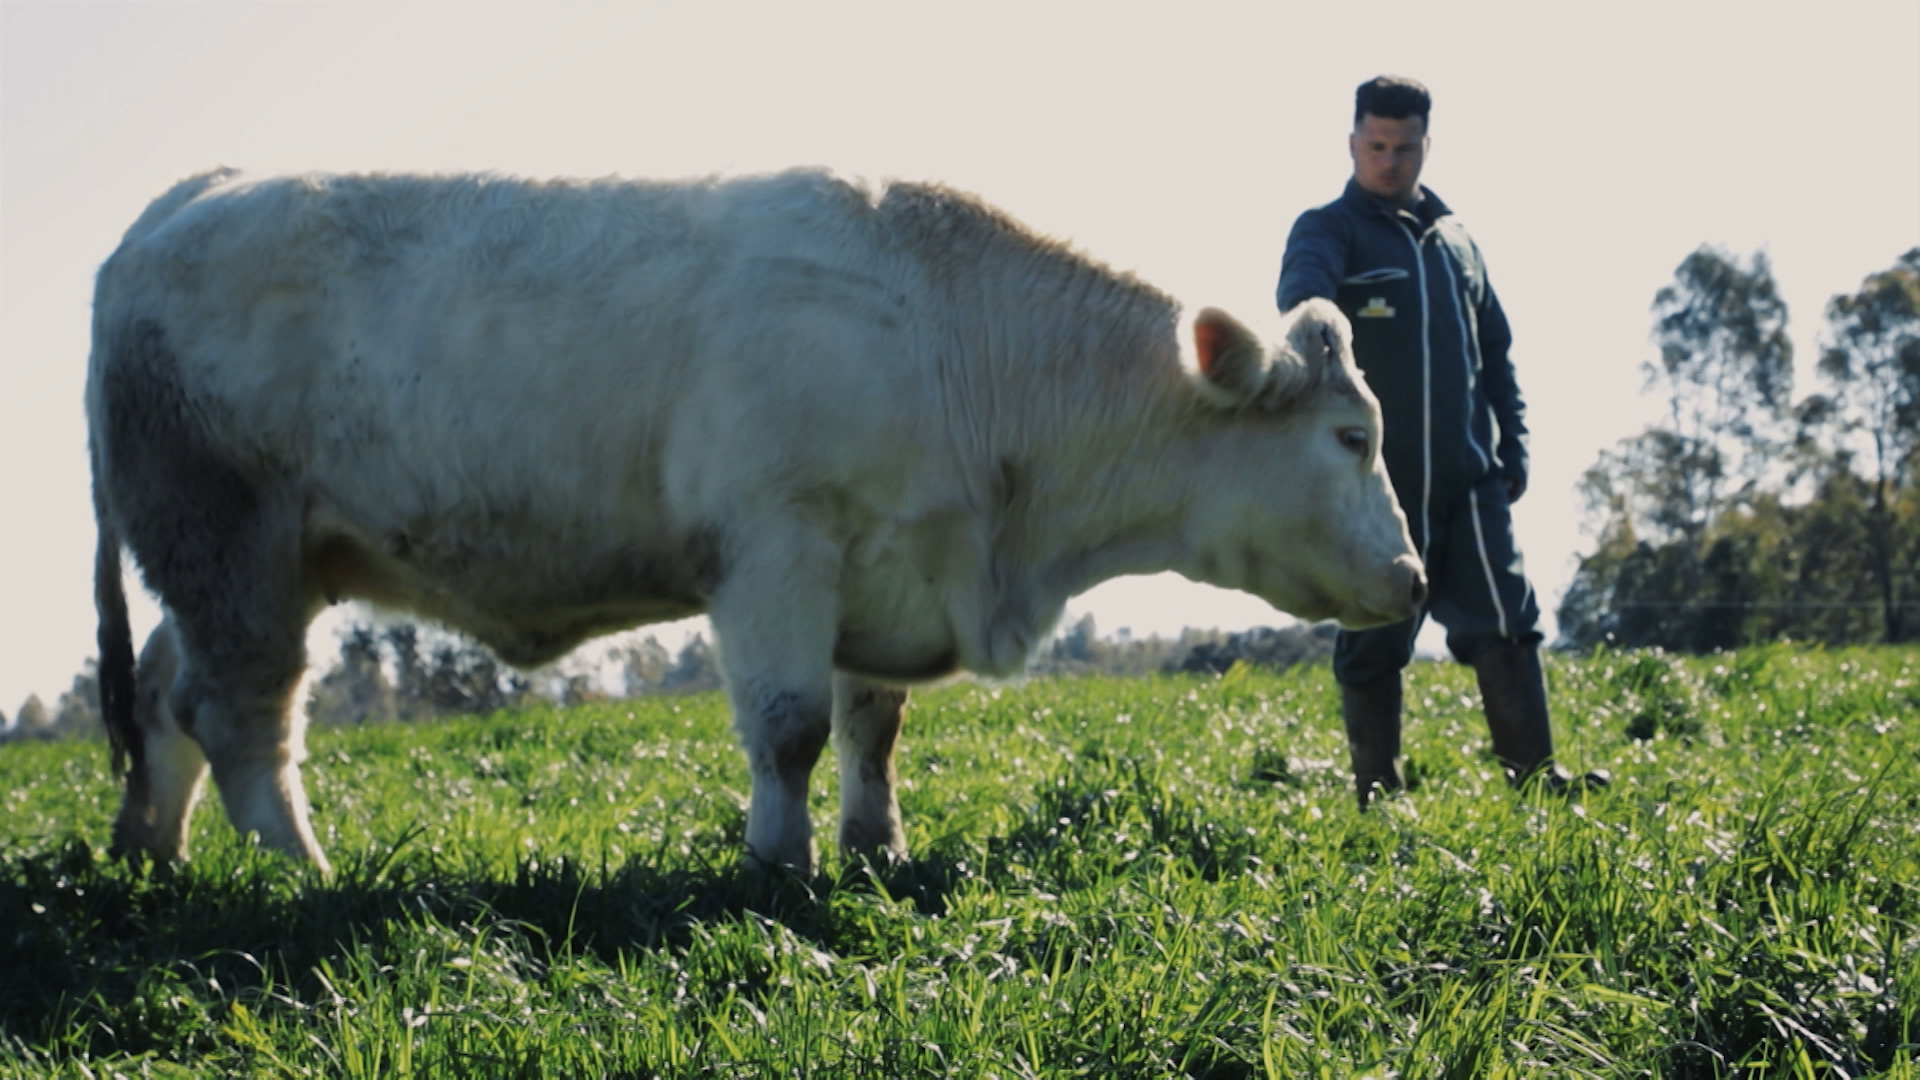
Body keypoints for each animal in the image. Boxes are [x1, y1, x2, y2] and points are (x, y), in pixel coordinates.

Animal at [88, 167, 1425, 877]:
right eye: (1353, 439)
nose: (1414, 577)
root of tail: (178, 202)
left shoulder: (887, 570)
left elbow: (871, 728)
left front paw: (877, 849)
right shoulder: (776, 551)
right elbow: (788, 728)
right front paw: (781, 868)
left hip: (235, 568)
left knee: (163, 697)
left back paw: (159, 854)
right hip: (232, 552)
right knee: (241, 718)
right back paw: (304, 875)